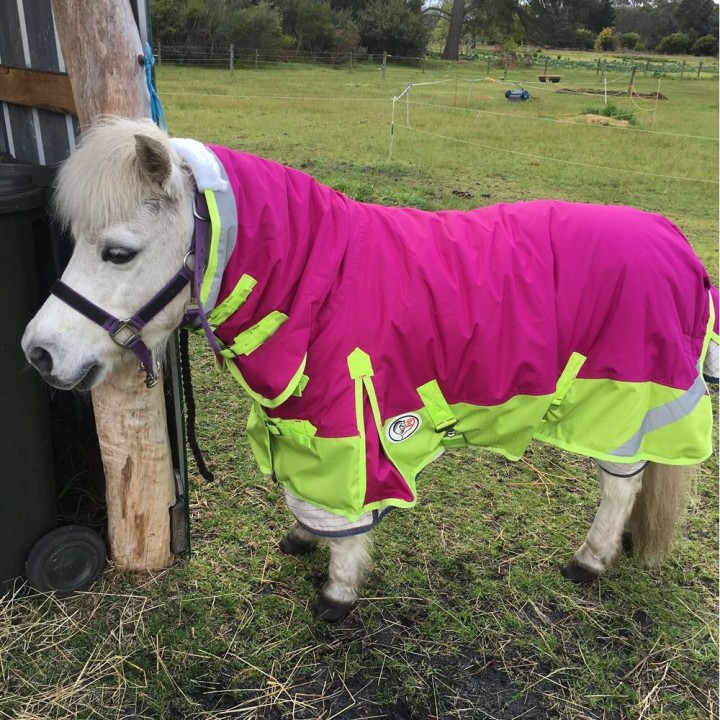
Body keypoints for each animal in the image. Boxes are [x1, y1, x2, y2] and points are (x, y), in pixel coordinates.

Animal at [22, 118, 719, 621]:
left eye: (118, 253)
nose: (39, 352)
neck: (317, 281)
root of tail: (675, 241)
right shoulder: (297, 418)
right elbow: (303, 494)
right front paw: (304, 539)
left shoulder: (344, 421)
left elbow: (345, 508)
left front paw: (338, 592)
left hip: (624, 402)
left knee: (622, 484)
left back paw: (590, 561)